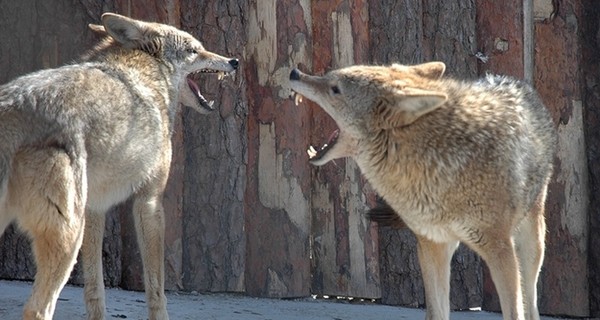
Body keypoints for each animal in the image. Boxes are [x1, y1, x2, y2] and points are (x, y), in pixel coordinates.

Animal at [0, 13, 239, 320]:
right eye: (194, 50)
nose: (234, 60)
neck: (147, 74)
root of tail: (13, 107)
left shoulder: (94, 208)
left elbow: (95, 288)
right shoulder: (150, 201)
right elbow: (156, 287)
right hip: (68, 238)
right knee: (37, 309)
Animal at [288, 62, 556, 320]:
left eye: (334, 88)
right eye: (328, 78)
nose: (295, 73)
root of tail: (514, 81)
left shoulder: (500, 250)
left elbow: (514, 312)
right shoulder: (432, 244)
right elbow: (436, 313)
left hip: (531, 246)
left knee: (531, 304)